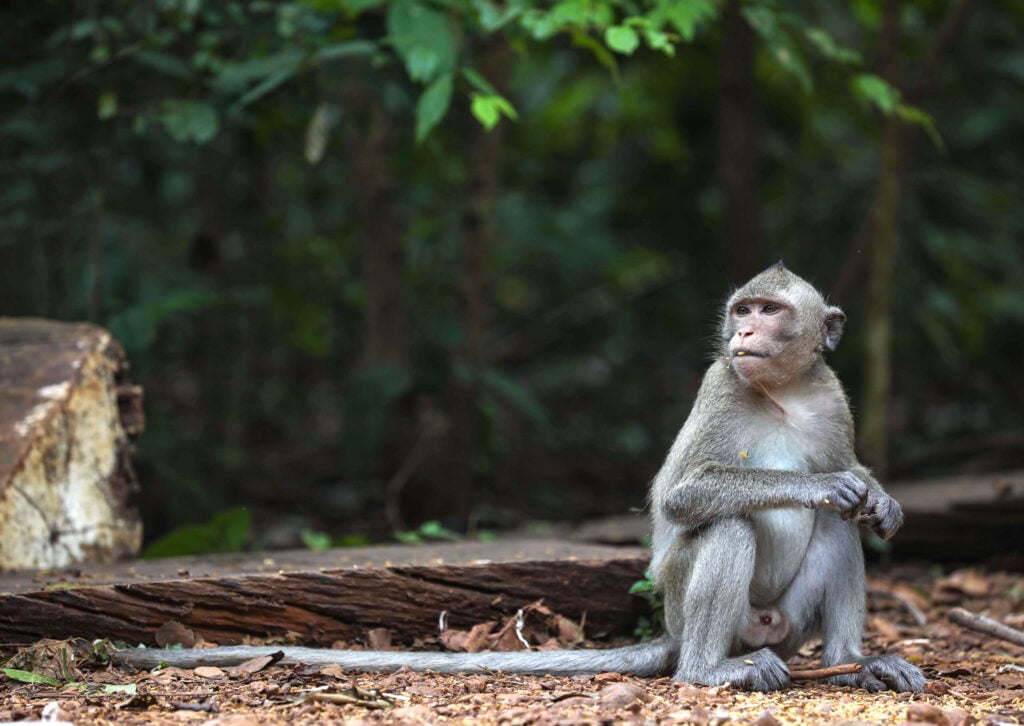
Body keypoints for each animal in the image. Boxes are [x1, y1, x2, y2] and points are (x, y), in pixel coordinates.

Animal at [114, 264, 929, 692]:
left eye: (771, 311)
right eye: (743, 310)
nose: (746, 332)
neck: (781, 392)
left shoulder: (831, 395)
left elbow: (853, 482)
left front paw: (879, 496)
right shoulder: (721, 385)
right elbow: (686, 496)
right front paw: (829, 489)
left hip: (785, 622)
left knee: (839, 537)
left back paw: (853, 666)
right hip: (703, 615)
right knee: (726, 527)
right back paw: (708, 672)